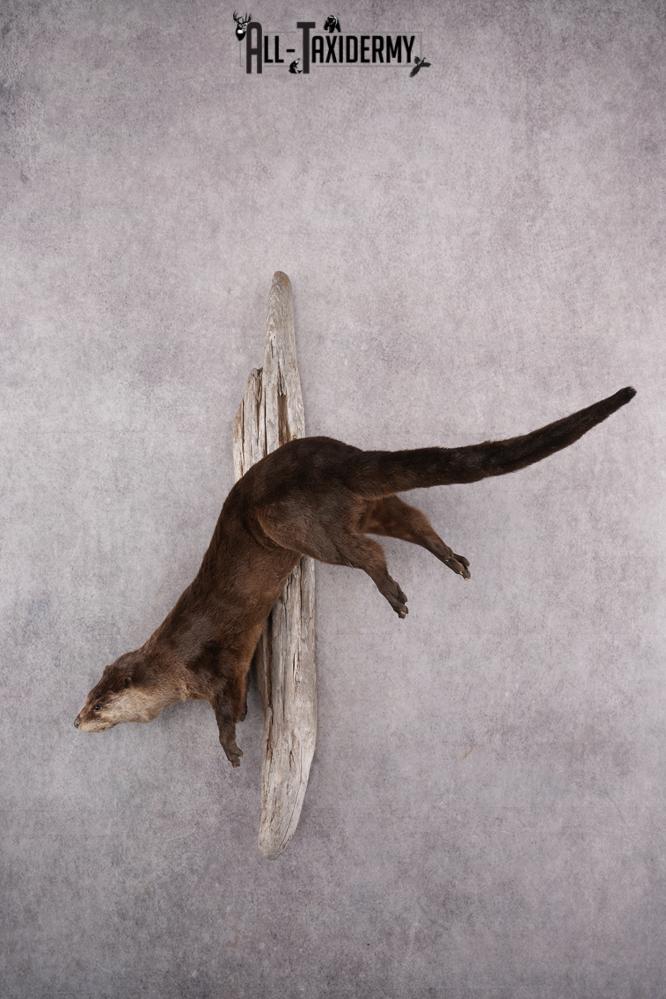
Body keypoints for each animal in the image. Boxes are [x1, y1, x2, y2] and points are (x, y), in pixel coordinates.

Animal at [74, 386, 636, 766]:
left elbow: (229, 704)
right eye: (86, 699)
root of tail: (339, 459)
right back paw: (450, 558)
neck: (174, 659)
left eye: (100, 703)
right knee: (408, 518)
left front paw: (231, 746)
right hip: (363, 506)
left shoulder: (220, 660)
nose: (76, 720)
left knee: (365, 551)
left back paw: (393, 591)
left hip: (295, 524)